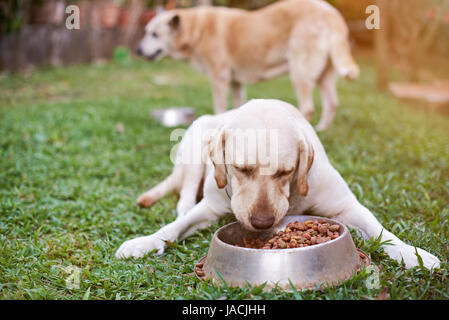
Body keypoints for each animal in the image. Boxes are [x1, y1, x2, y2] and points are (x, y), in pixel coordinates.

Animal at [135, 0, 358, 131]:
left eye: (154, 34)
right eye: (146, 32)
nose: (138, 51)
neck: (197, 29)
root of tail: (331, 13)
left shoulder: (219, 78)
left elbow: (219, 107)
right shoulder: (236, 82)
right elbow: (237, 106)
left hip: (299, 71)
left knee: (308, 107)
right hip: (324, 74)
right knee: (332, 103)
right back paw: (322, 130)